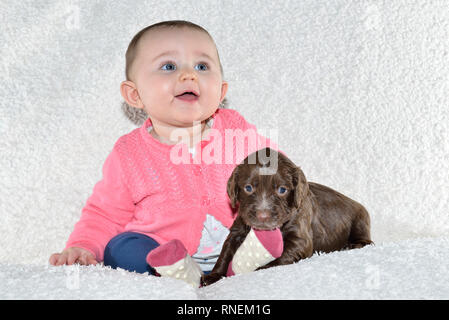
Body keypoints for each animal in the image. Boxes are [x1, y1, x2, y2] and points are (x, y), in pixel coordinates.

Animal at [201, 148, 372, 284]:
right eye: (248, 188)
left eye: (282, 190)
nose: (263, 215)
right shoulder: (238, 228)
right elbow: (226, 252)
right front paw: (214, 275)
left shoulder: (300, 238)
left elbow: (280, 256)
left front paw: (260, 268)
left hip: (360, 220)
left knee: (367, 241)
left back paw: (351, 245)